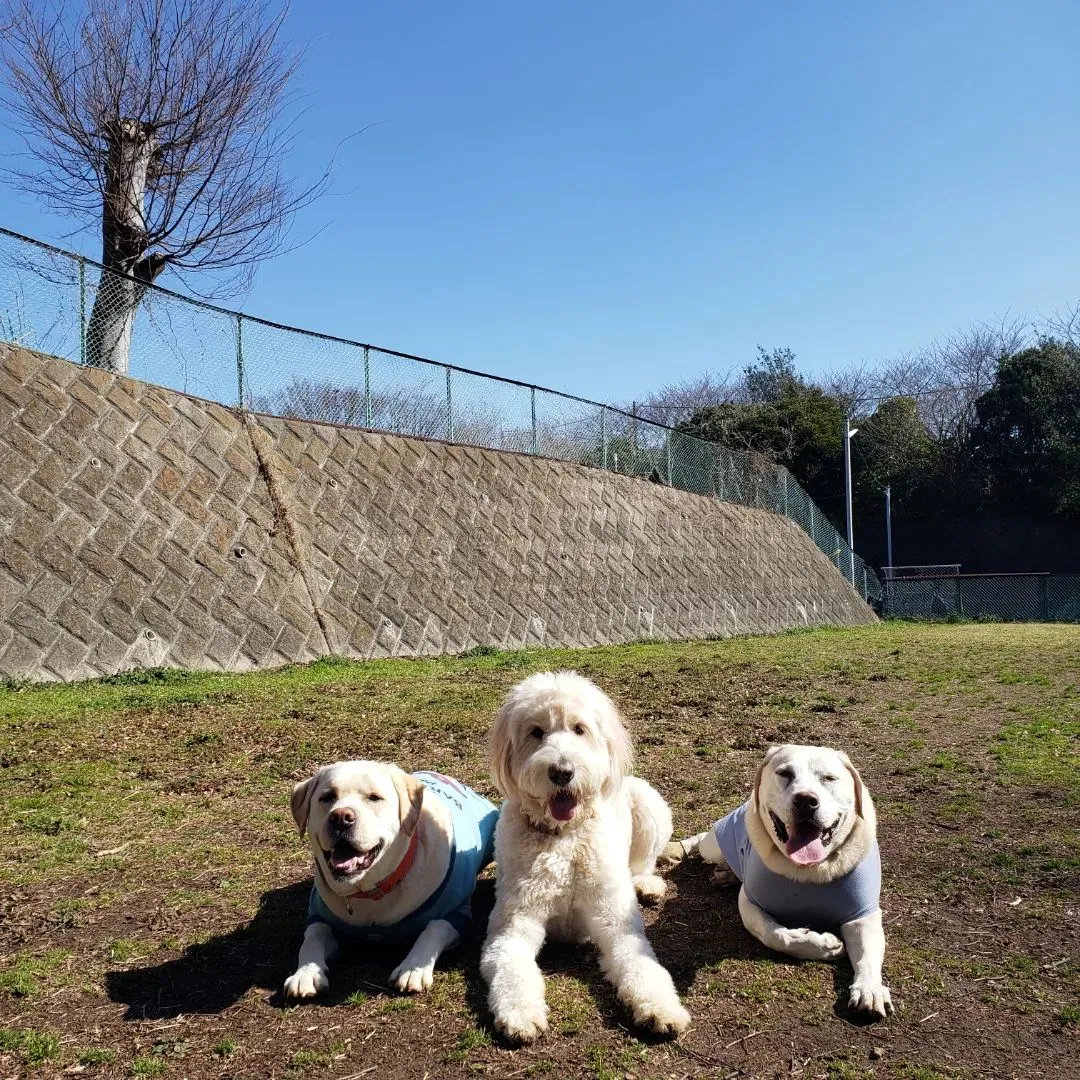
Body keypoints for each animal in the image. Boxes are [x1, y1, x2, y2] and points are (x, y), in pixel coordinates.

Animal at [282, 764, 496, 997]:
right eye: (327, 797)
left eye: (375, 798)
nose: (340, 817)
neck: (371, 890)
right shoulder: (320, 916)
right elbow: (313, 937)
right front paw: (305, 973)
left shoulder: (456, 914)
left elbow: (433, 928)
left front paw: (413, 969)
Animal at [481, 669, 691, 1041]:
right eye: (536, 732)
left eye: (579, 729)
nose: (562, 772)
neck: (564, 838)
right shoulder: (512, 928)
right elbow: (511, 968)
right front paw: (520, 1013)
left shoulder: (617, 924)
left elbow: (643, 966)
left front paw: (662, 1008)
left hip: (649, 808)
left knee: (643, 863)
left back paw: (647, 885)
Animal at [673, 747, 894, 1015]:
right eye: (784, 774)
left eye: (829, 778)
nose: (806, 800)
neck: (809, 870)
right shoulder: (749, 903)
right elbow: (776, 935)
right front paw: (824, 945)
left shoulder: (862, 916)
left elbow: (867, 955)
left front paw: (869, 988)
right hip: (714, 845)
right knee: (702, 839)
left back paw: (727, 873)